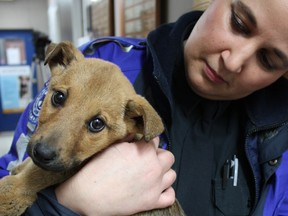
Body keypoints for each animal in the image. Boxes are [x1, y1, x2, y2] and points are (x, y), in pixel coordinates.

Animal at [0, 41, 184, 215]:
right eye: (58, 97)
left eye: (97, 124)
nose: (42, 153)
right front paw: (21, 166)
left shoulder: (57, 171)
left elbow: (22, 183)